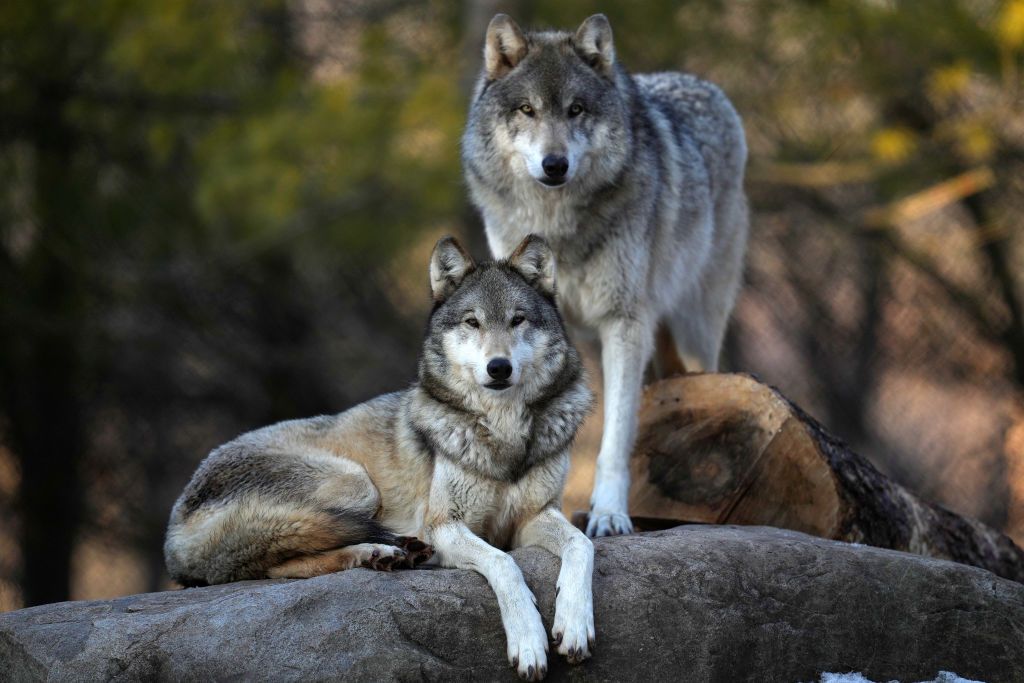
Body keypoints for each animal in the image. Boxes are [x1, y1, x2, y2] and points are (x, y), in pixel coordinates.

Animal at [164, 235, 598, 679]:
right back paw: (381, 553)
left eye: (517, 320)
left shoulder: (532, 517)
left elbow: (582, 545)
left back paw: (385, 555)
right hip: (355, 485)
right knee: (276, 565)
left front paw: (574, 624)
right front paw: (528, 641)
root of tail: (174, 529)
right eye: (472, 323)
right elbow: (505, 566)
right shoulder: (443, 526)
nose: (499, 367)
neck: (503, 433)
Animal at [460, 13, 749, 540]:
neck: (556, 229)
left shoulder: (624, 322)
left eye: (576, 110)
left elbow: (615, 435)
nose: (555, 164)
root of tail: (706, 85)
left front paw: (610, 513)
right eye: (528, 110)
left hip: (697, 324)